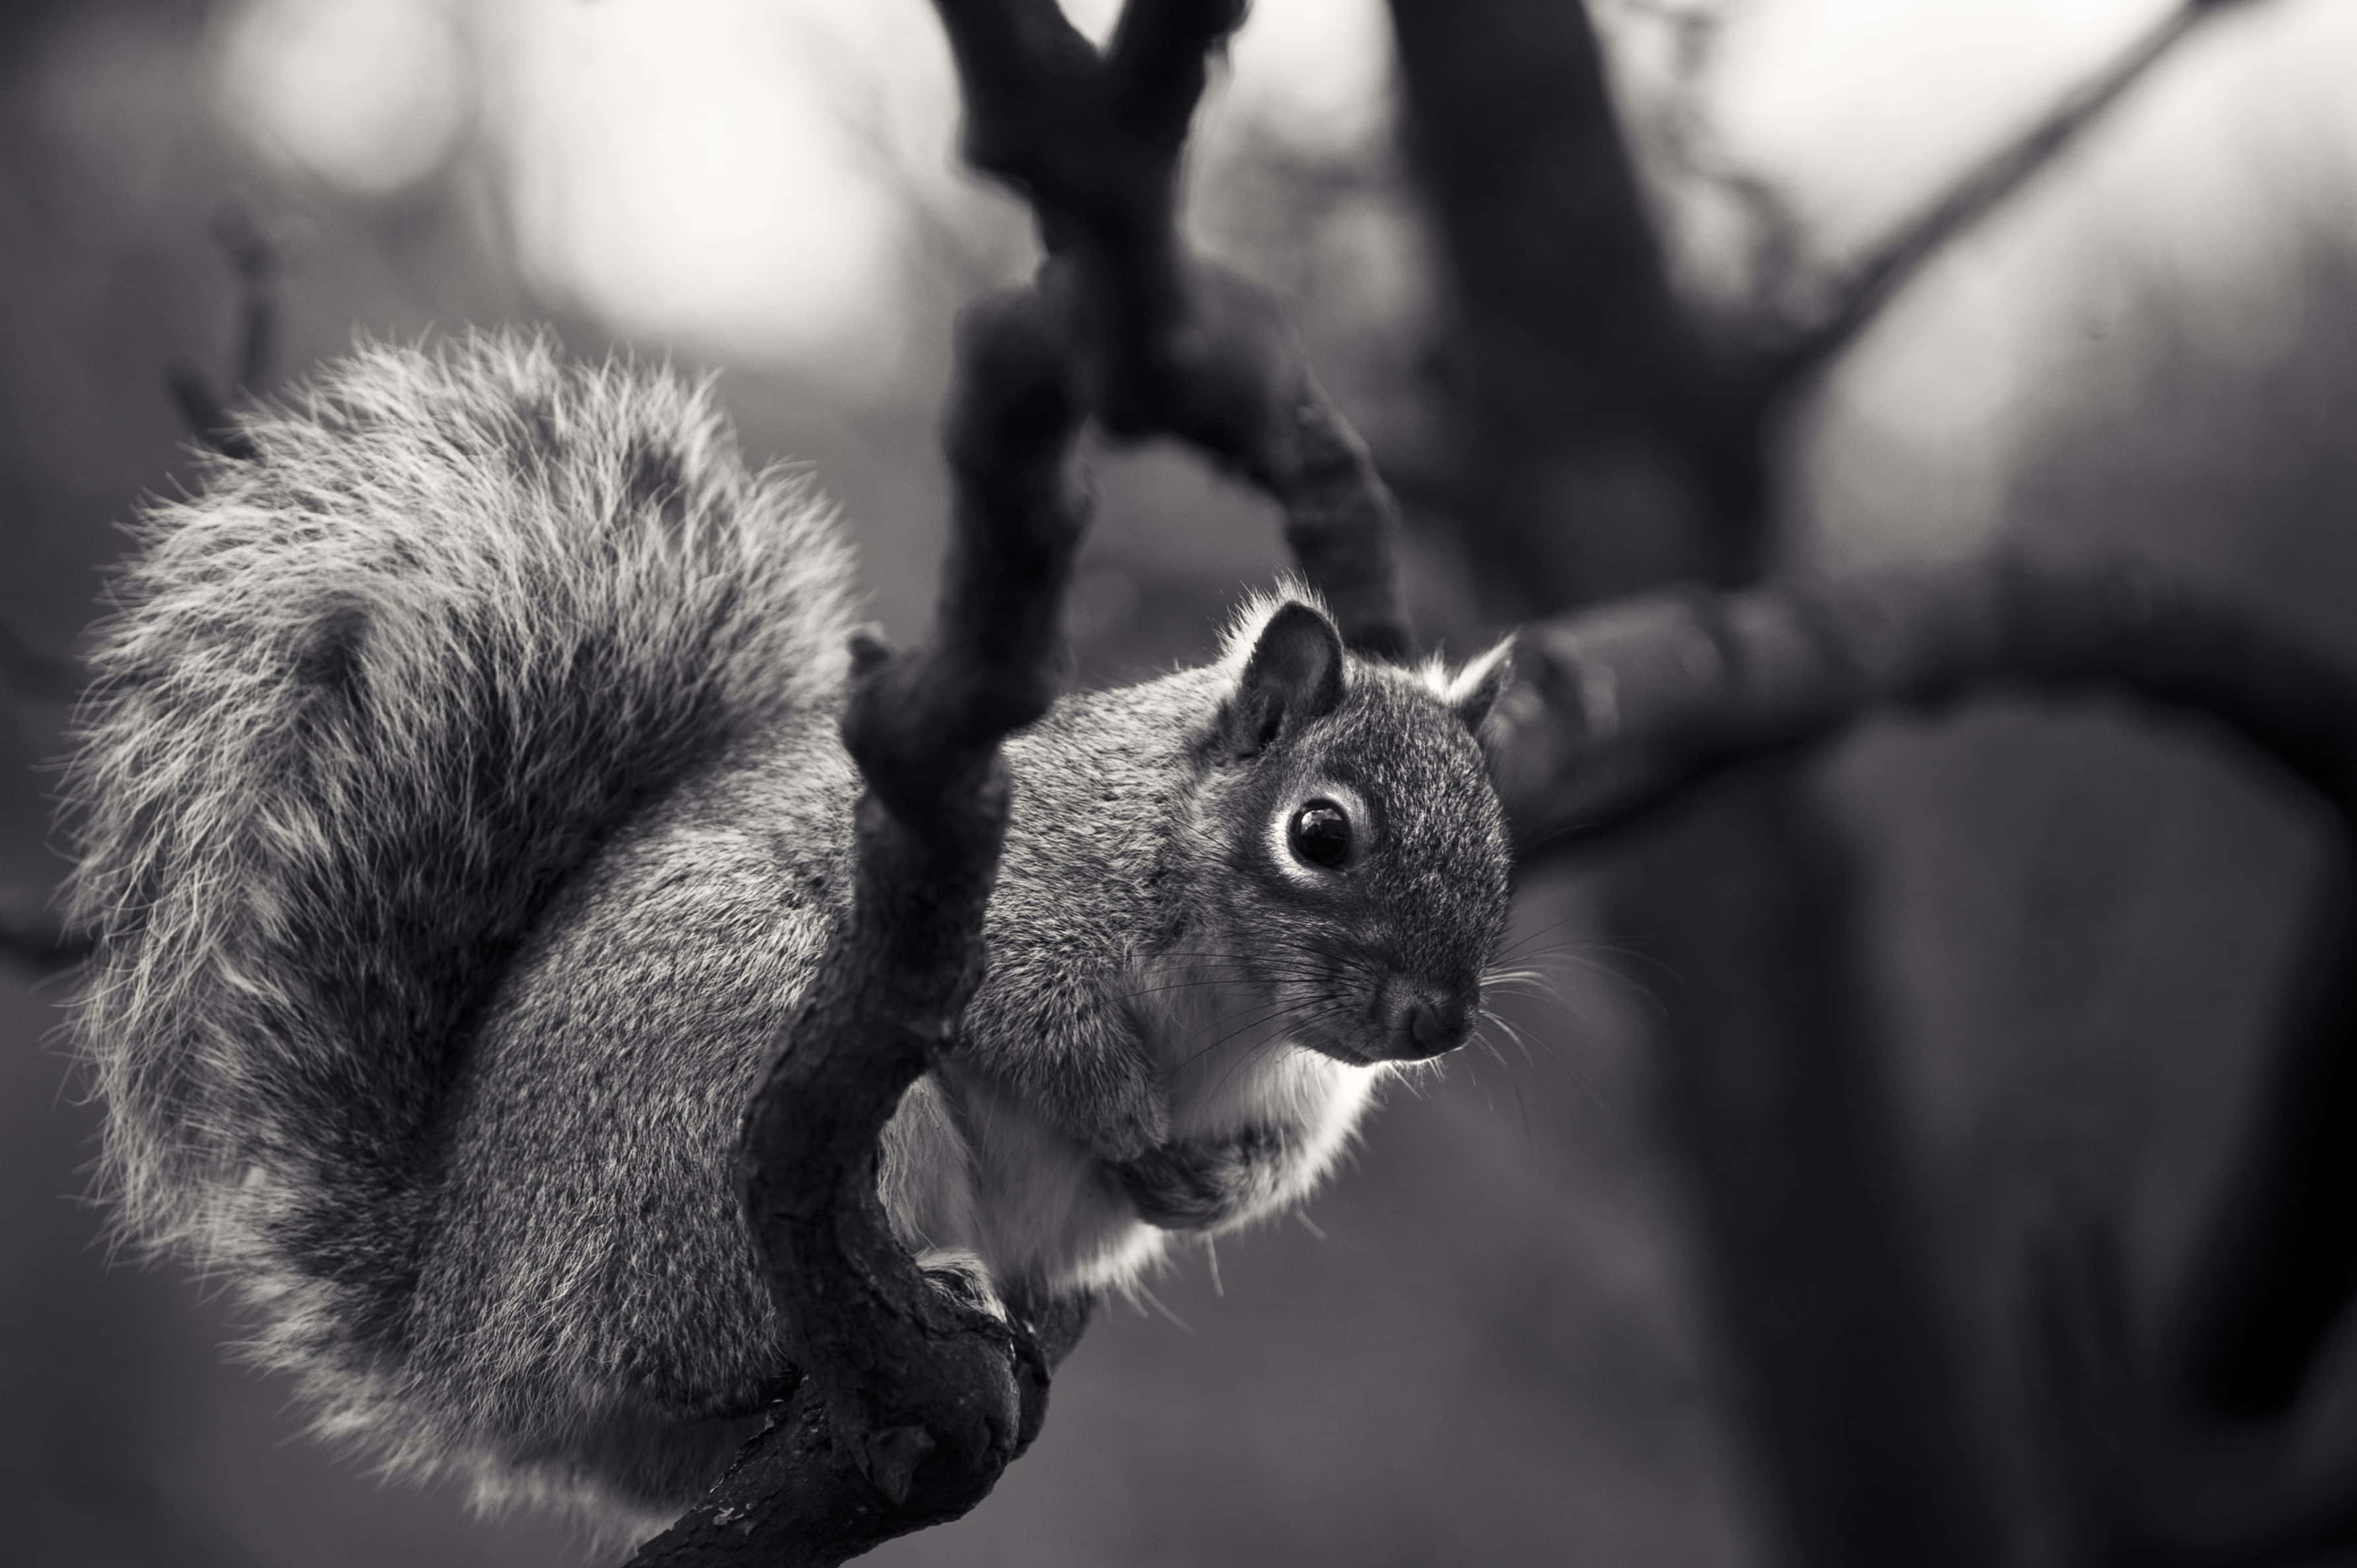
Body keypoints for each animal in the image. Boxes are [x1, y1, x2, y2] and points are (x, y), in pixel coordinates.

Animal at [62, 331, 1515, 1540]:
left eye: (1499, 844)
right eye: (1318, 833)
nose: (1438, 1021)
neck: (1235, 1001)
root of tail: (457, 1329)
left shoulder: (1301, 1089)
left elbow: (1278, 1159)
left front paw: (1206, 1187)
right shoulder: (1020, 907)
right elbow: (1044, 1034)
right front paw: (1130, 1128)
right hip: (722, 1084)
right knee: (684, 1342)